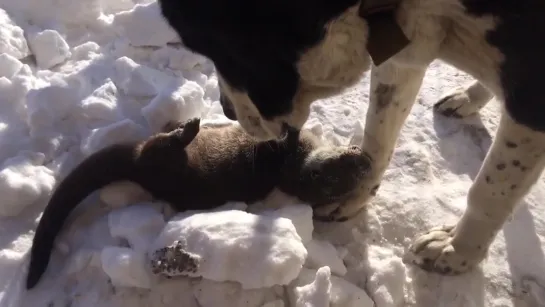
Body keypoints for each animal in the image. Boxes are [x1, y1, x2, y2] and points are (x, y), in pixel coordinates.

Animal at [26, 118, 374, 292]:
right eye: (348, 166)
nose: (367, 160)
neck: (295, 163)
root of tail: (136, 165)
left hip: (163, 159)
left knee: (164, 145)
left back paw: (188, 128)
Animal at [156, 0, 544, 274]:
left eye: (226, 52)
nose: (227, 111)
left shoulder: (530, 91)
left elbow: (492, 187)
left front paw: (455, 249)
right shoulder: (400, 45)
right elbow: (378, 133)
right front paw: (354, 191)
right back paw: (469, 97)